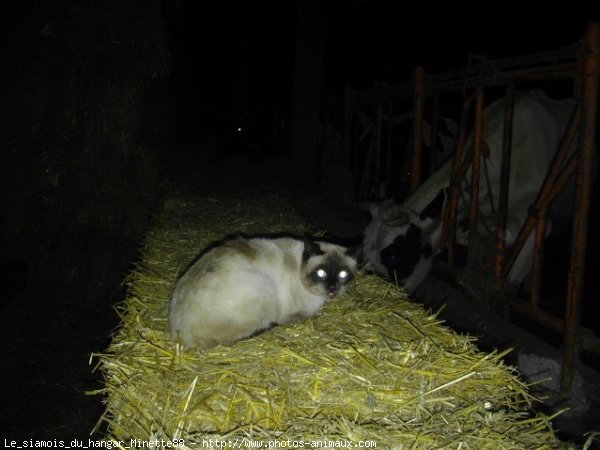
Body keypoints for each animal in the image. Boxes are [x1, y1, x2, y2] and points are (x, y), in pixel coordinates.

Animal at [168, 234, 356, 350]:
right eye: (321, 273)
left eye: (342, 275)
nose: (332, 289)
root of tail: (181, 334)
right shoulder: (297, 314)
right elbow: (308, 315)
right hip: (263, 286)